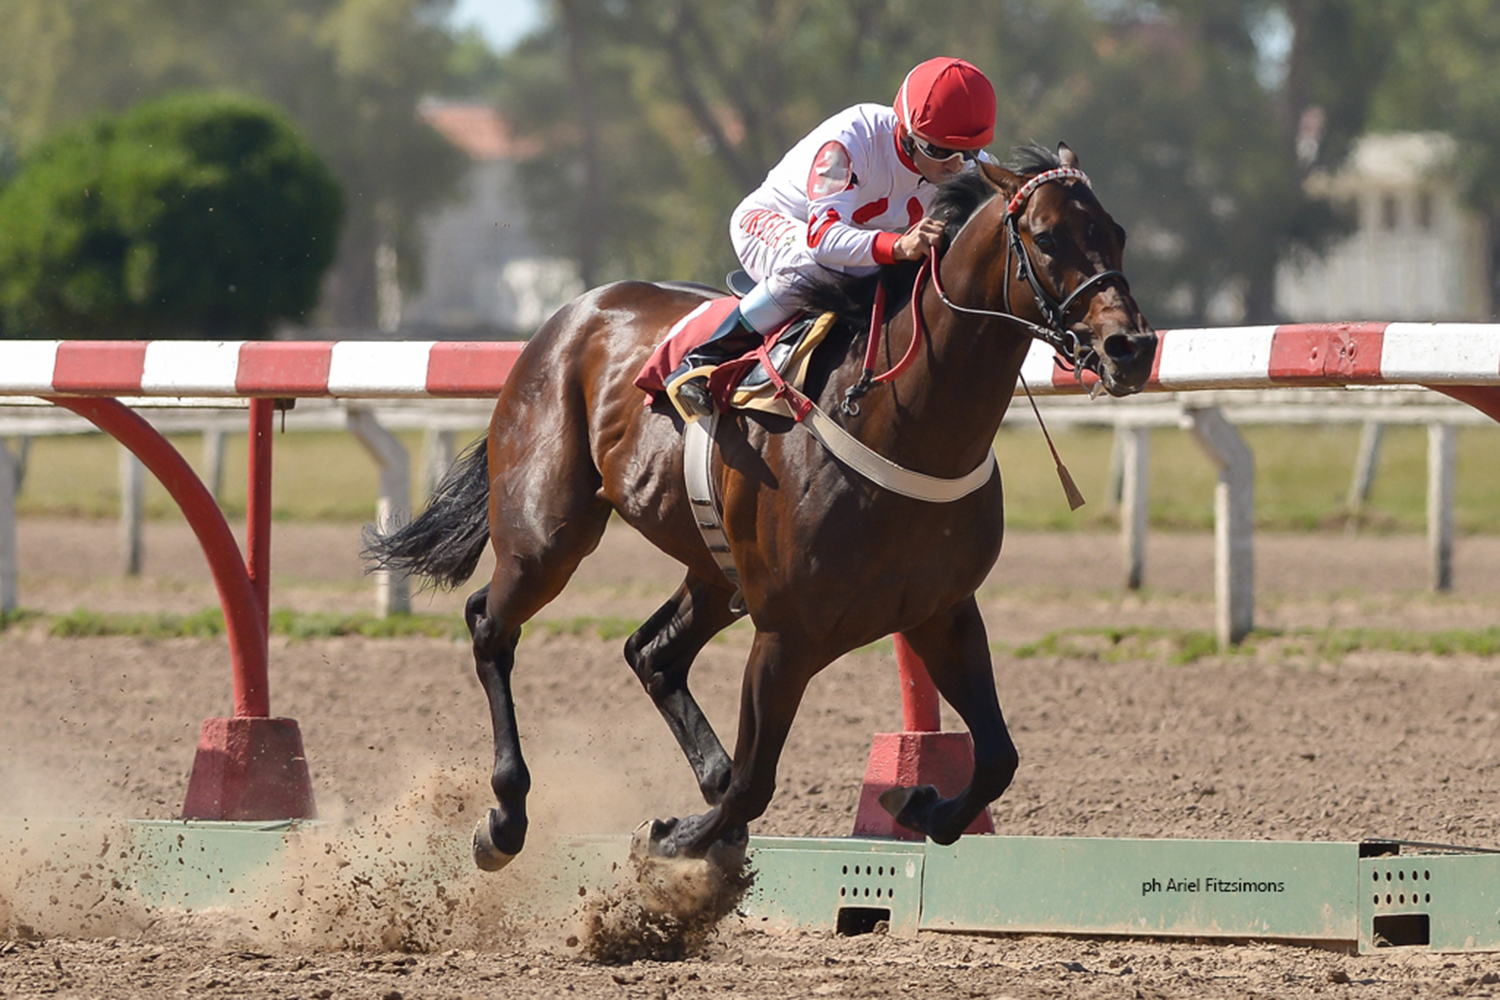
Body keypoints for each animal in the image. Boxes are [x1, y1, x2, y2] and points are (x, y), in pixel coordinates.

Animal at [364, 143, 1157, 870]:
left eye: (1117, 232)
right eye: (1048, 236)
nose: (1132, 347)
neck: (904, 419)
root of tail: (571, 312)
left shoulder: (942, 611)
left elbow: (996, 757)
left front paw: (917, 802)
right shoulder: (788, 632)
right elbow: (755, 783)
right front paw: (676, 842)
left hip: (715, 570)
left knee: (651, 653)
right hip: (547, 535)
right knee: (491, 625)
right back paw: (506, 818)